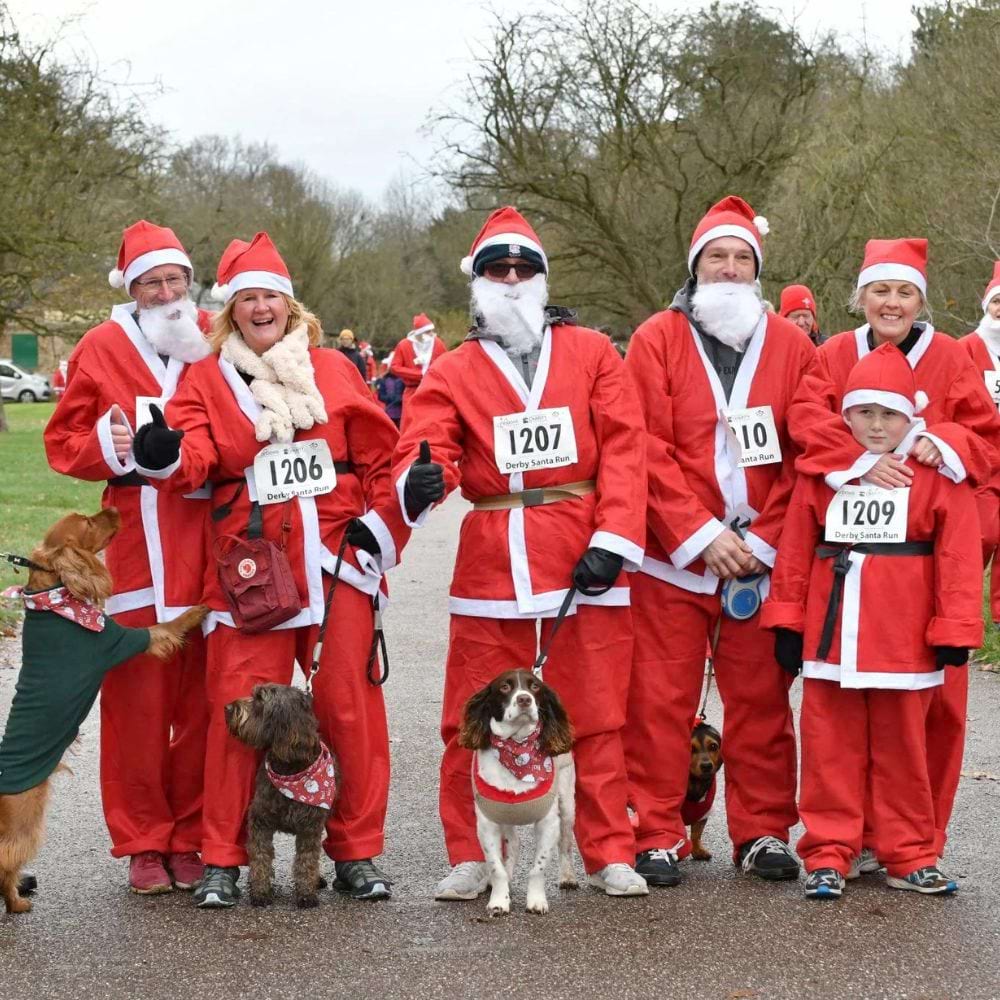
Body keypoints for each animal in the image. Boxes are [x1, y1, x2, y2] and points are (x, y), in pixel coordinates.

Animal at [226, 688, 336, 908]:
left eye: (260, 699)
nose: (227, 708)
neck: (290, 768)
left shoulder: (310, 828)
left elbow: (306, 861)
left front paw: (306, 894)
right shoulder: (260, 822)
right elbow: (260, 858)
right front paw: (260, 892)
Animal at [458, 668, 576, 916]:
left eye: (535, 687)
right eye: (505, 687)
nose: (524, 699)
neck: (518, 747)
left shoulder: (548, 822)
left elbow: (538, 867)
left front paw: (537, 901)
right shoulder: (488, 823)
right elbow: (497, 867)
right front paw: (499, 901)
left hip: (567, 805)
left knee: (565, 843)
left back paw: (568, 876)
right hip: (506, 816)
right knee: (513, 846)